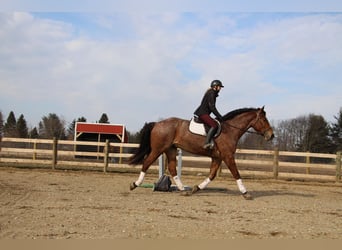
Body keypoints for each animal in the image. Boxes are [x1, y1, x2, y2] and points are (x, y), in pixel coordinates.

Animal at [127, 106, 274, 200]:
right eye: (264, 120)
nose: (271, 135)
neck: (230, 130)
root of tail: (157, 123)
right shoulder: (228, 156)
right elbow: (236, 173)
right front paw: (245, 192)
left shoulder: (217, 158)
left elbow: (212, 175)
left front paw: (196, 188)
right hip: (158, 149)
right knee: (146, 163)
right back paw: (134, 184)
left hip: (171, 150)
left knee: (172, 169)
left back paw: (183, 190)